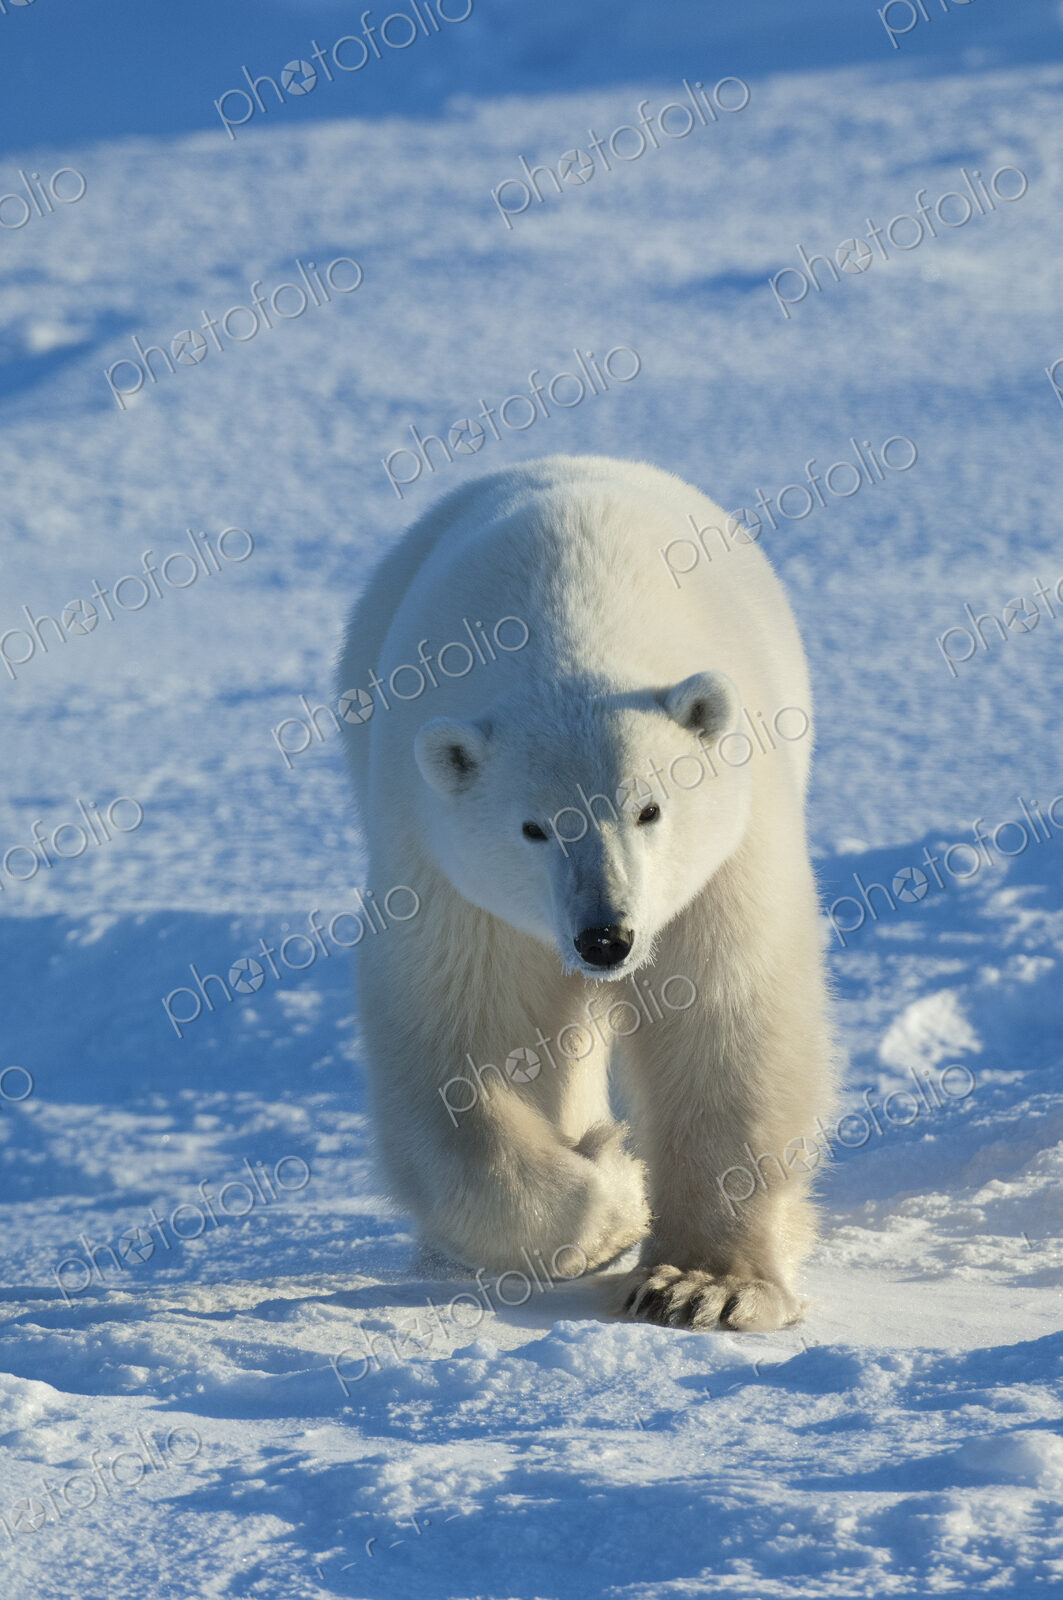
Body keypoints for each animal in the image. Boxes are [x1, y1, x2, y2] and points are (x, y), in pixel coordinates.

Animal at [337, 454, 837, 1332]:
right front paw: (613, 1188)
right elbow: (468, 1050)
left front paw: (700, 1286)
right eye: (534, 827)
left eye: (650, 807)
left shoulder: (724, 858)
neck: (569, 630)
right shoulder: (451, 877)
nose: (606, 937)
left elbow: (724, 1021)